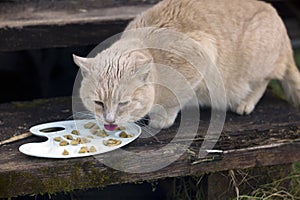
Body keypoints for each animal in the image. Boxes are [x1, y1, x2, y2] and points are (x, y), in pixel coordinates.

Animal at [73, 0, 300, 129]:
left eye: (123, 103)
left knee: (264, 81)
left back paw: (245, 102)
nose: (109, 121)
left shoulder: (202, 54)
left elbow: (176, 98)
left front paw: (162, 118)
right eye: (98, 103)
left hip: (256, 61)